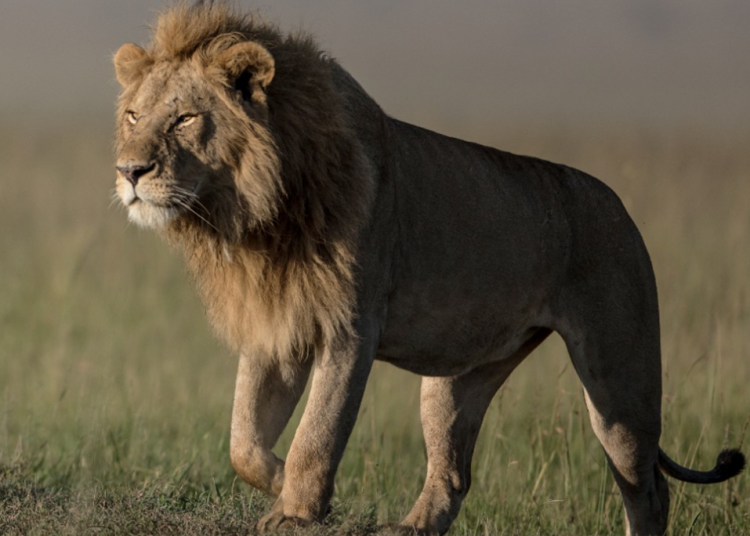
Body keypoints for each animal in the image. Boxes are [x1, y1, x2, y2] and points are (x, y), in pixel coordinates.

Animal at [113, 3, 744, 535]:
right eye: (134, 115)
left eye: (184, 120)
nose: (129, 171)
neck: (254, 216)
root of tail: (620, 208)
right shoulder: (278, 326)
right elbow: (242, 442)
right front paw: (289, 488)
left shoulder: (352, 329)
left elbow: (318, 433)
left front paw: (297, 509)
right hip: (459, 378)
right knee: (453, 474)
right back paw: (407, 528)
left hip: (619, 380)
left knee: (647, 486)